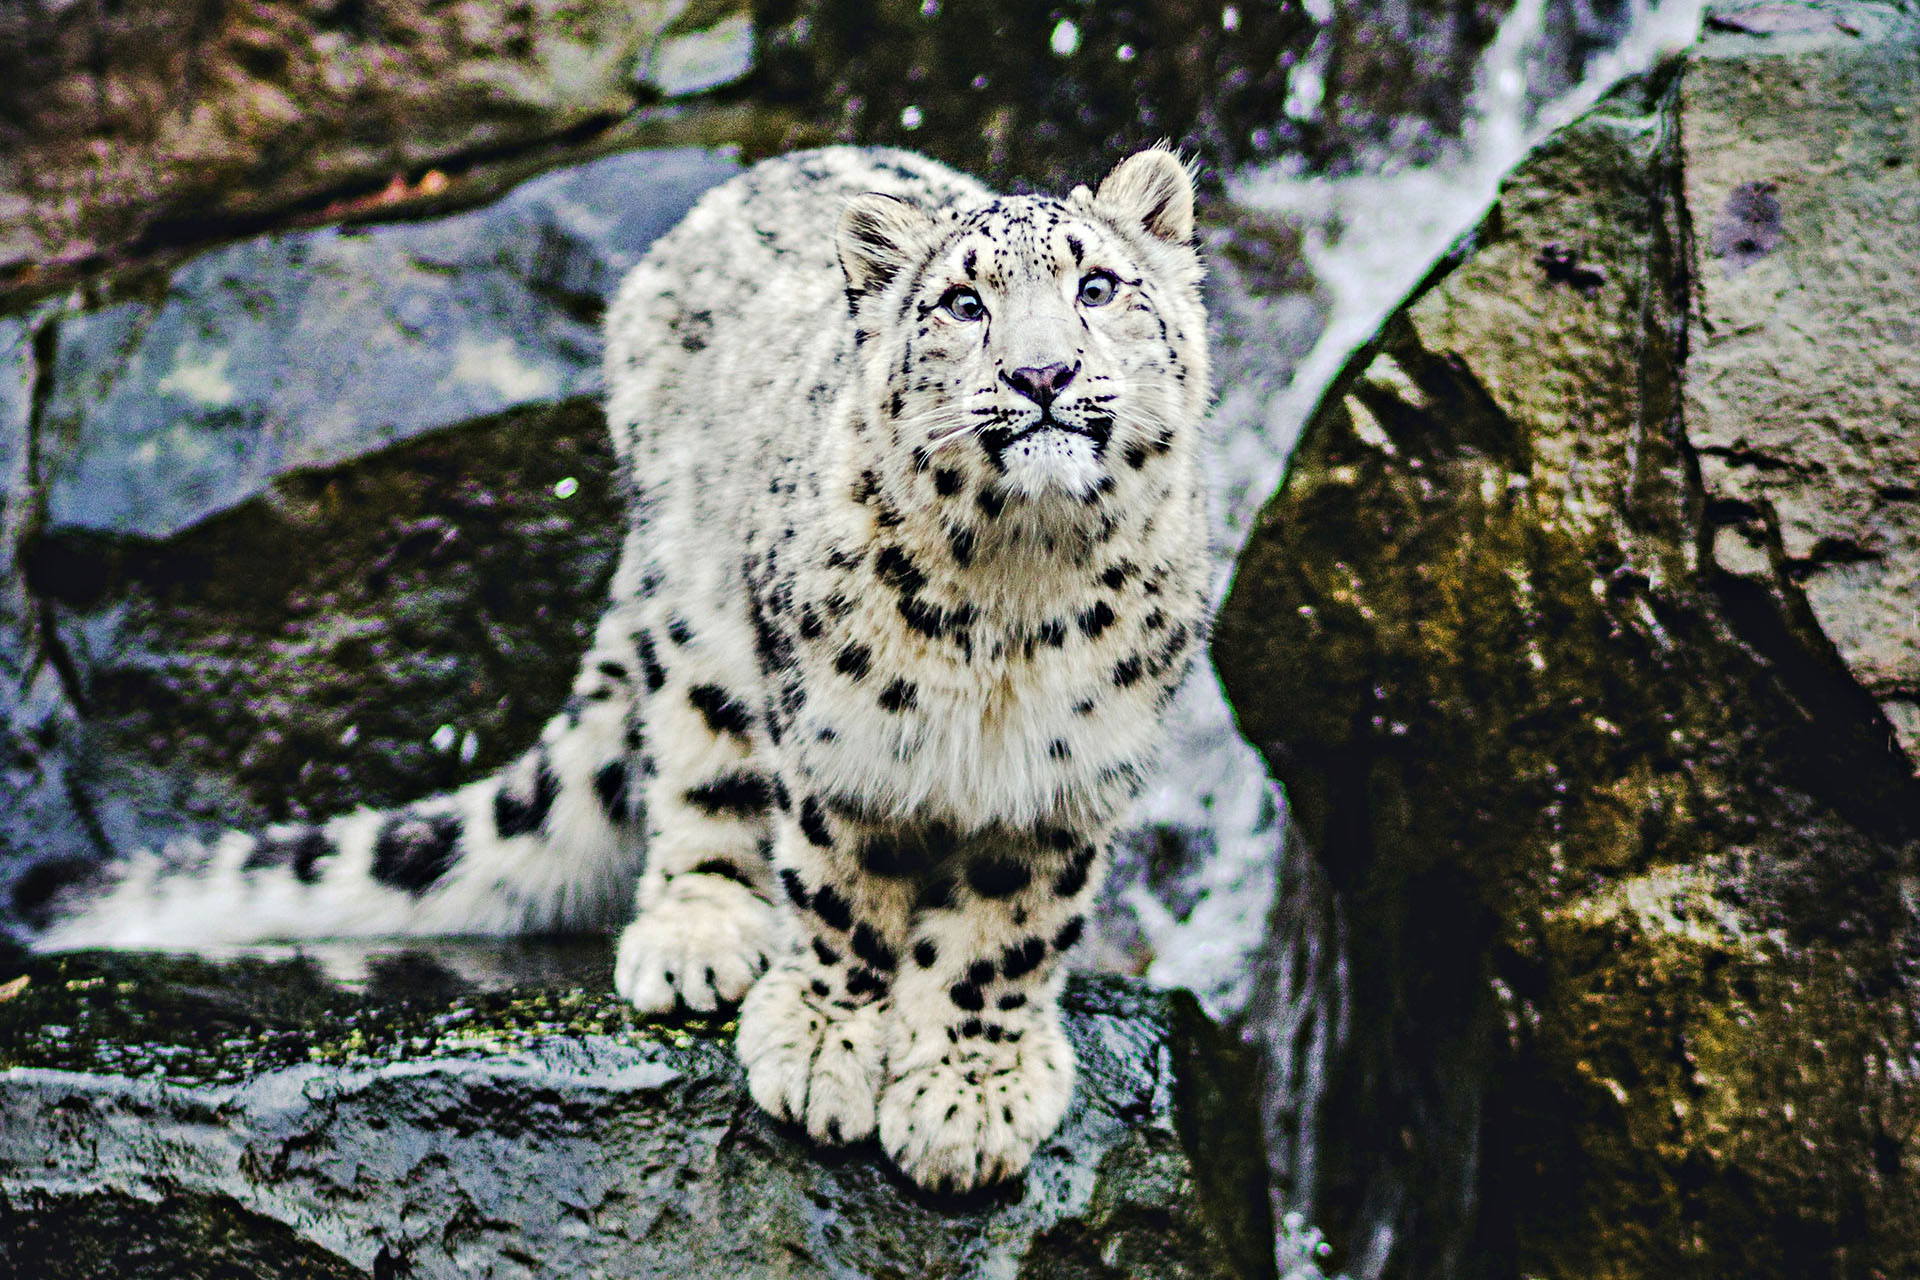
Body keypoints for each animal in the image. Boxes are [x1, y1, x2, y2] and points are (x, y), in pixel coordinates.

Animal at [41, 144, 1213, 1192]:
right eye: (964, 304)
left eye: (1098, 286)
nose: (1042, 373)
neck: (1017, 598)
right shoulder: (838, 738)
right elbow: (840, 890)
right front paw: (827, 1044)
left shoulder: (1068, 775)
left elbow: (1007, 935)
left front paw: (971, 1094)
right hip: (698, 625)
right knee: (696, 771)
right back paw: (697, 935)